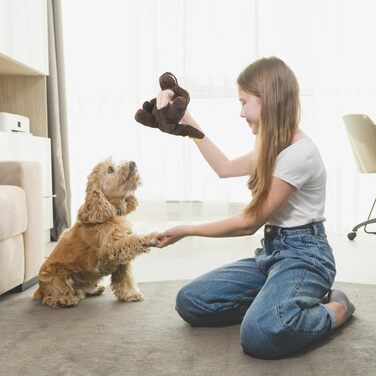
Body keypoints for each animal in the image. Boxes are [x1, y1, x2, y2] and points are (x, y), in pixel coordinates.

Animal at [33, 157, 157, 306]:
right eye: (110, 169)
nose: (132, 162)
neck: (111, 212)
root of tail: (40, 289)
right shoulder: (110, 248)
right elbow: (132, 240)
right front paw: (149, 237)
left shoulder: (121, 259)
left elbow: (125, 278)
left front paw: (130, 294)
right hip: (56, 274)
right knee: (52, 297)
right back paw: (67, 299)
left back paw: (94, 290)